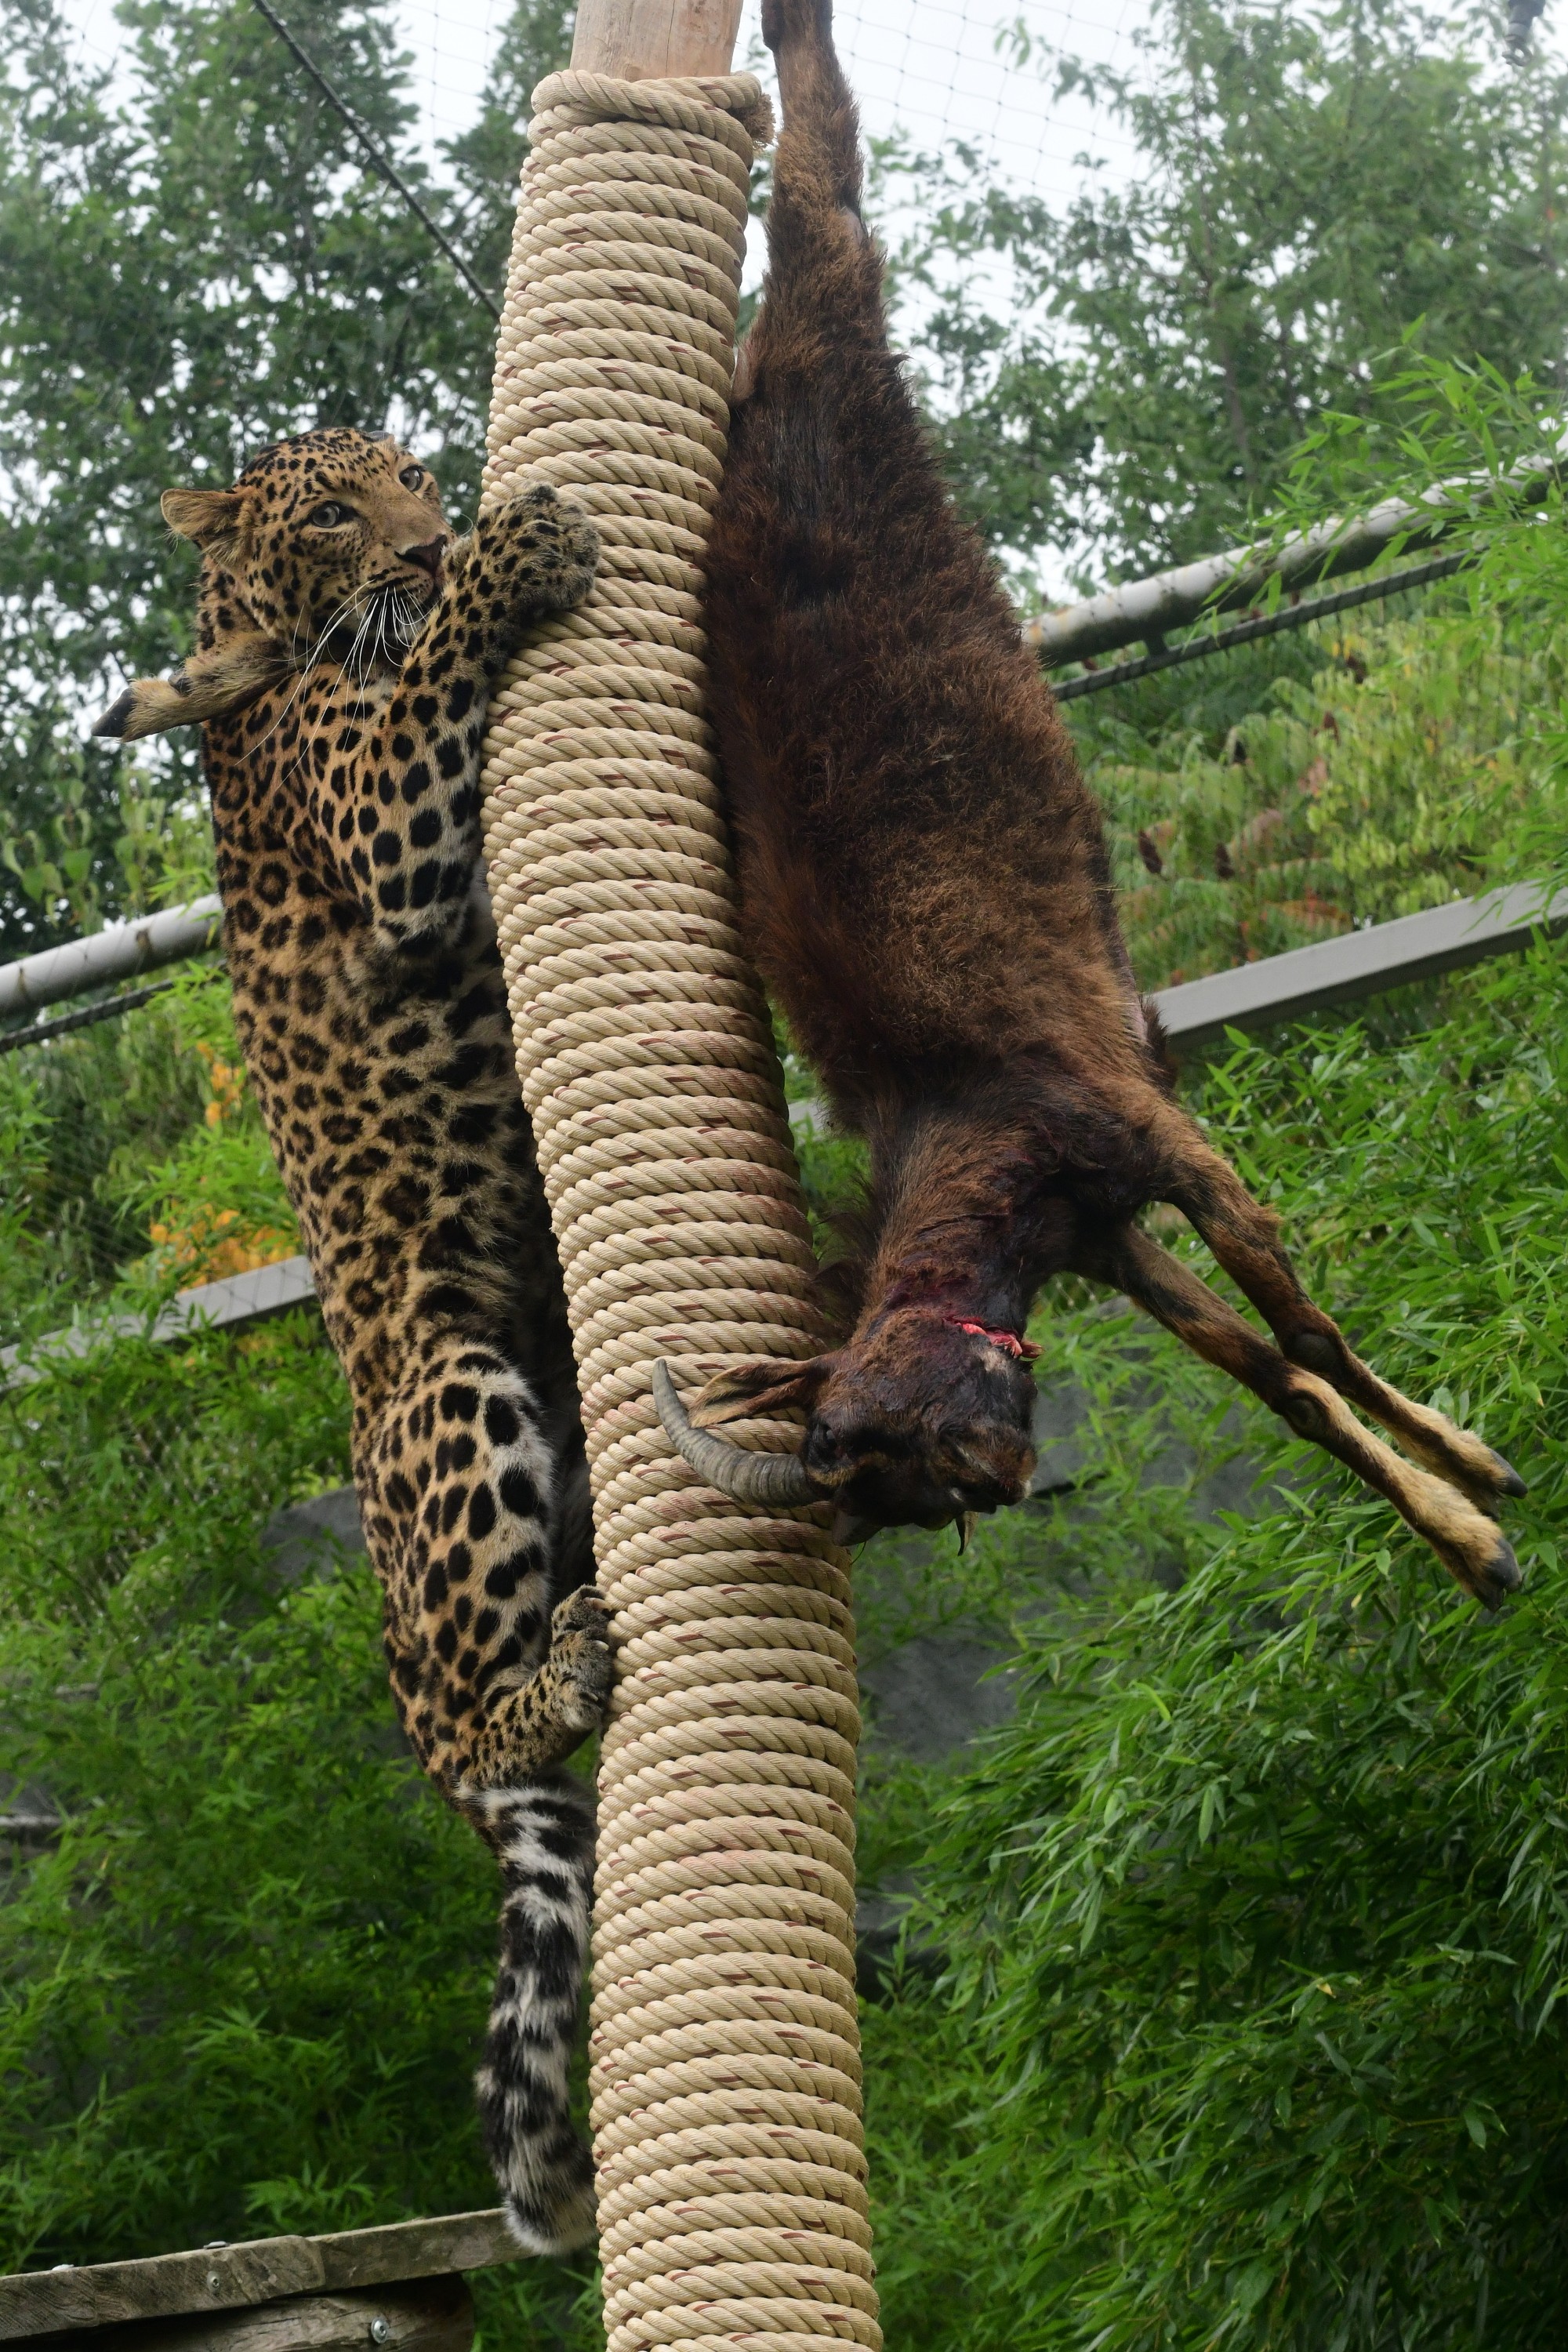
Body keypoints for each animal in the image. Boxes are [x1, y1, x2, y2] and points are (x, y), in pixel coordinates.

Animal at [96, 426, 612, 2254]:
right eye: (331, 511)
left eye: (403, 472)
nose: (428, 533)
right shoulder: (386, 825)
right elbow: (438, 667)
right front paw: (511, 552)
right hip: (455, 1390)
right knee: (461, 1723)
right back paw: (553, 1681)